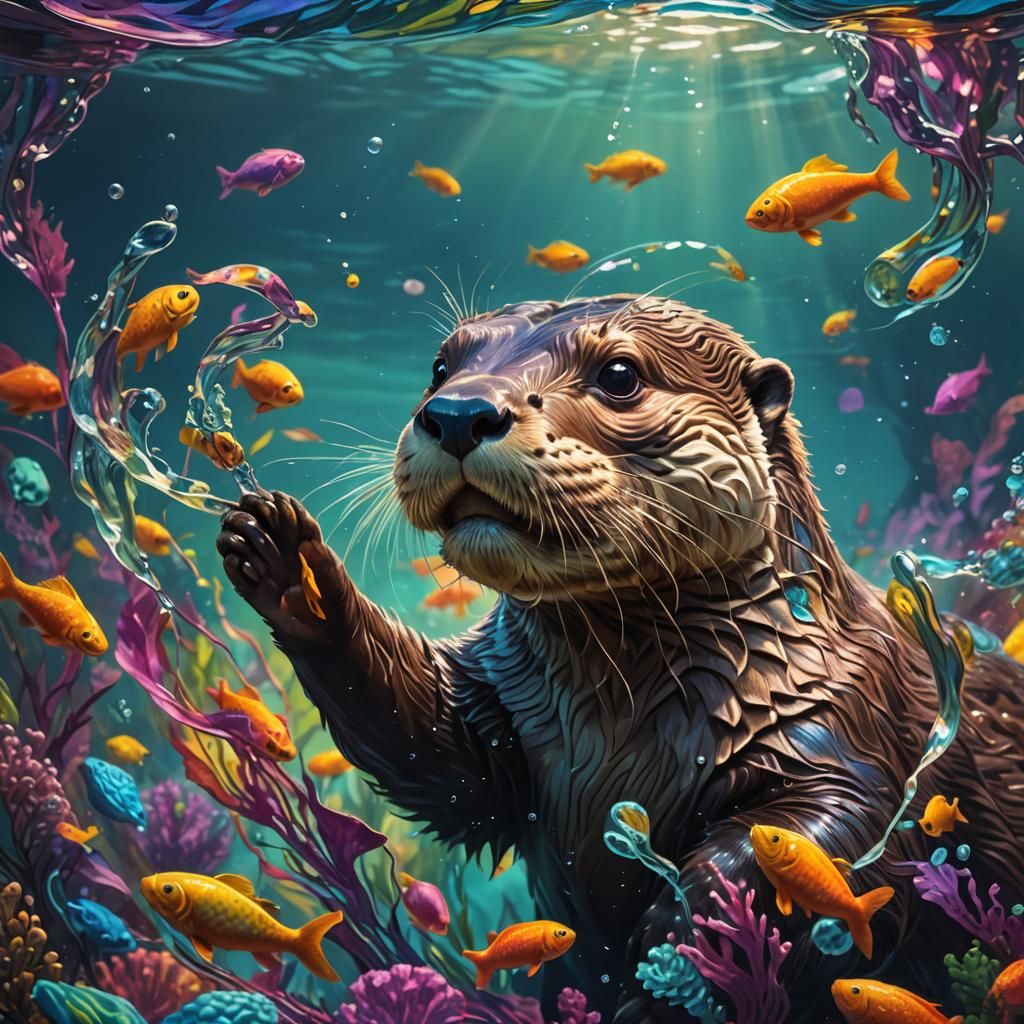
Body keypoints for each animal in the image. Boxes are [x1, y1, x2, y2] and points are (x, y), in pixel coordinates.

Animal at [217, 296, 1024, 1022]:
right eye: (442, 367)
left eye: (619, 375)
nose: (458, 413)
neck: (624, 722)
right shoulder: (499, 706)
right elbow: (433, 751)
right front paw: (291, 562)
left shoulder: (855, 716)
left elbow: (833, 829)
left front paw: (675, 946)